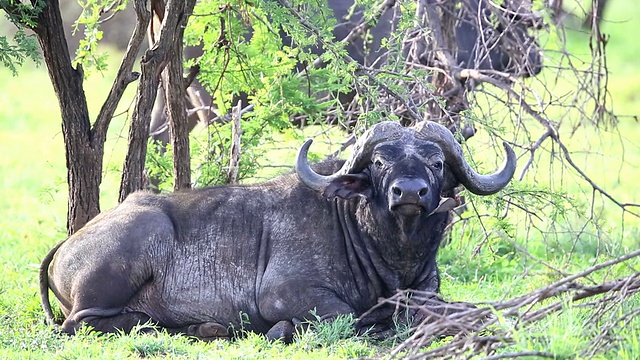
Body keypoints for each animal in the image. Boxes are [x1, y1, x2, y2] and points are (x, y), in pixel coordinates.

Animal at [40, 120, 516, 340]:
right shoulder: (285, 293)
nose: (410, 191)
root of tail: (68, 242)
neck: (391, 255)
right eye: (380, 162)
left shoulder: (428, 292)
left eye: (436, 163)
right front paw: (282, 329)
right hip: (138, 238)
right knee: (82, 324)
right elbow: (349, 316)